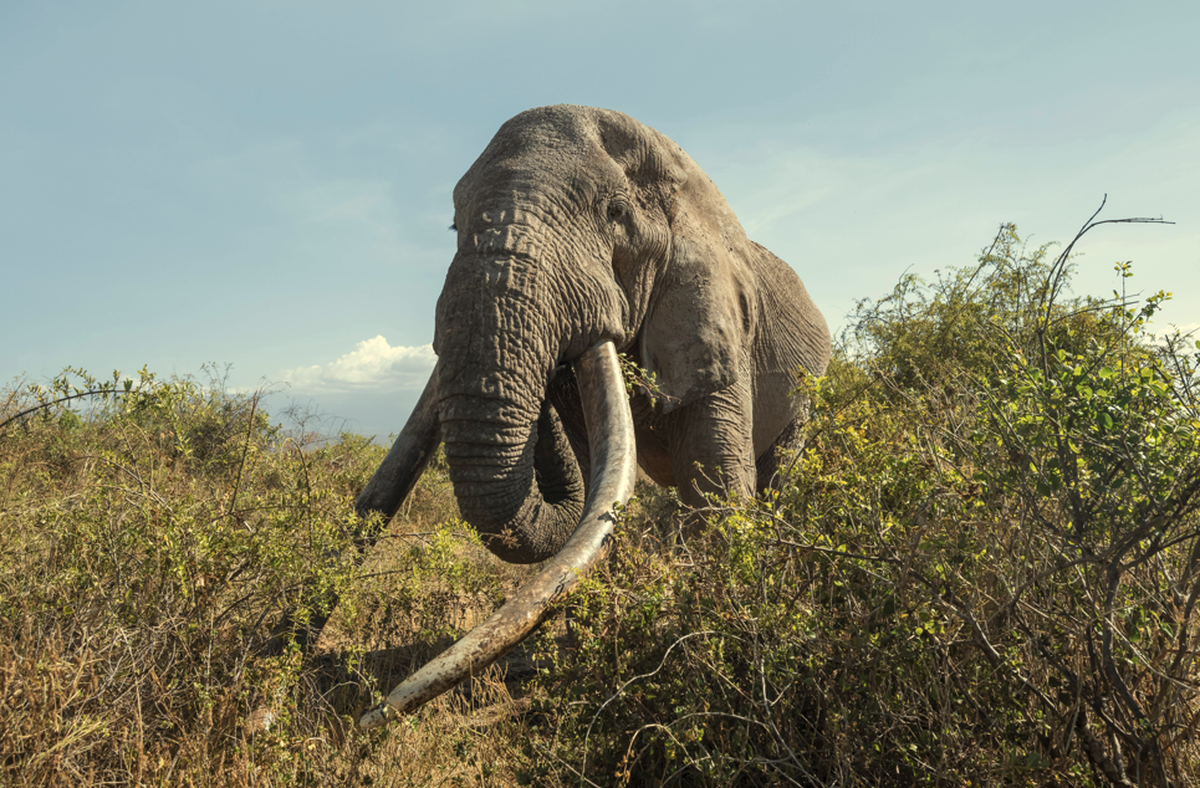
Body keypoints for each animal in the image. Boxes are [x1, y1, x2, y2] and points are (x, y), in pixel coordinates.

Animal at [353, 105, 831, 728]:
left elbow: (714, 483)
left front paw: (719, 645)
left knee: (775, 477)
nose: (369, 716)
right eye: (455, 227)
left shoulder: (717, 320)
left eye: (615, 214)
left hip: (809, 387)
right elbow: (596, 486)